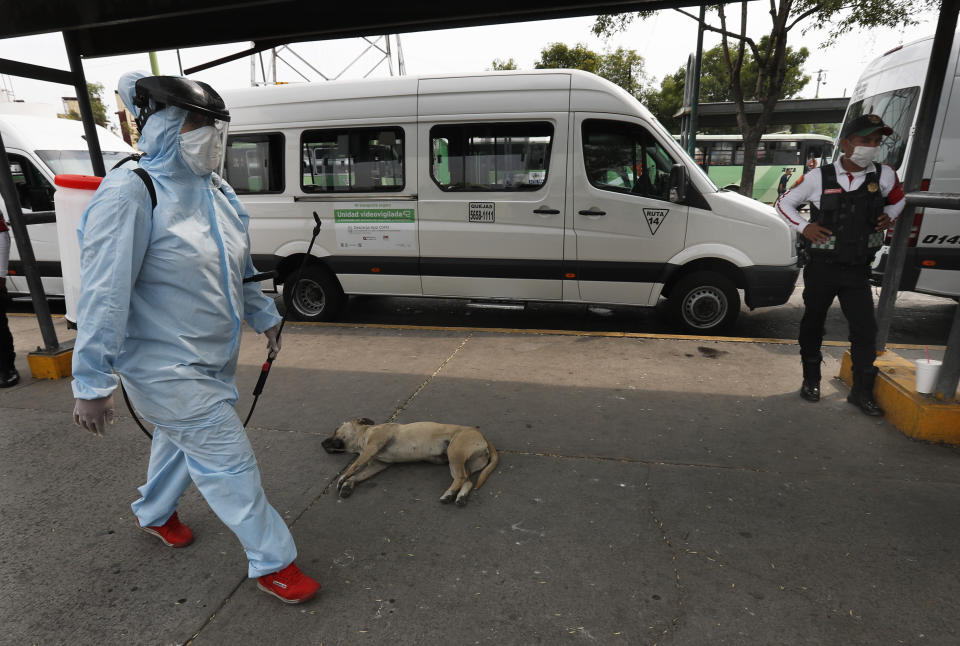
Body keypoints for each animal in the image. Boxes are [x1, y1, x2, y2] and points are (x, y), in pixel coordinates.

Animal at [324, 420, 502, 506]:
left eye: (335, 430)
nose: (321, 443)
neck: (364, 435)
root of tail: (482, 436)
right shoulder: (378, 465)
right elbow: (359, 475)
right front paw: (348, 485)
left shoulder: (371, 447)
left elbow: (354, 466)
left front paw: (343, 479)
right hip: (460, 462)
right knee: (467, 480)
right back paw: (460, 497)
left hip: (455, 453)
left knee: (461, 478)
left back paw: (449, 494)